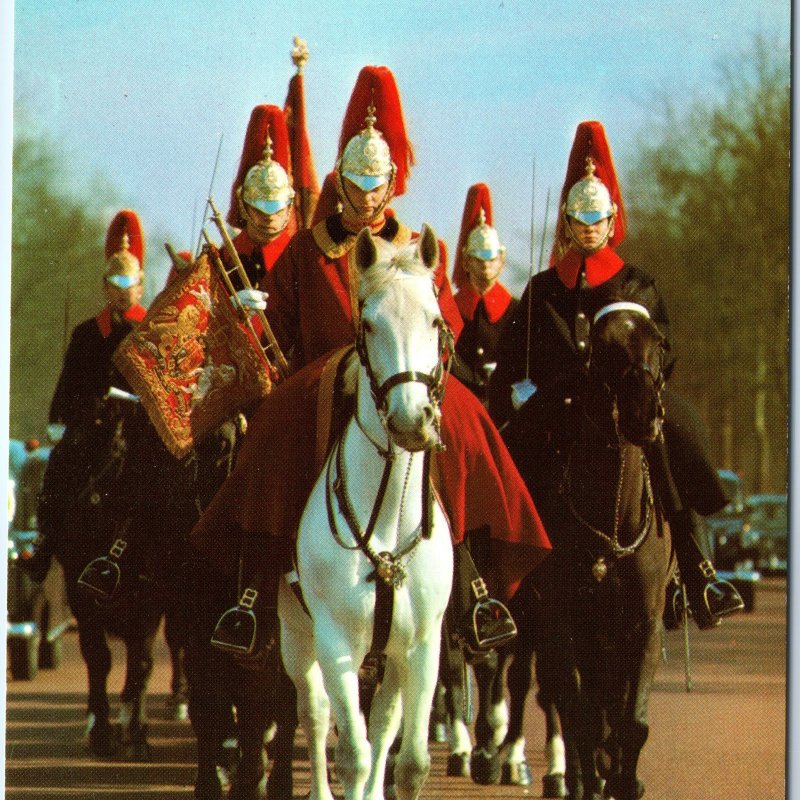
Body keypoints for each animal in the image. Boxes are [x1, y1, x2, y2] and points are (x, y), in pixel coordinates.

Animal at [280, 223, 456, 800]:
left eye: (435, 320)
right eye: (370, 323)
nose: (410, 419)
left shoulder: (421, 647)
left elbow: (409, 760)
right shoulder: (336, 642)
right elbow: (351, 755)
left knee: (382, 725)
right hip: (297, 634)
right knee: (315, 717)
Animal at [504, 290, 672, 800]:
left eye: (657, 341)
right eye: (601, 346)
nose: (642, 413)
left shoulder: (644, 624)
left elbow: (631, 723)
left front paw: (625, 779)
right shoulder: (563, 623)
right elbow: (581, 715)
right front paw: (595, 778)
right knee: (559, 698)